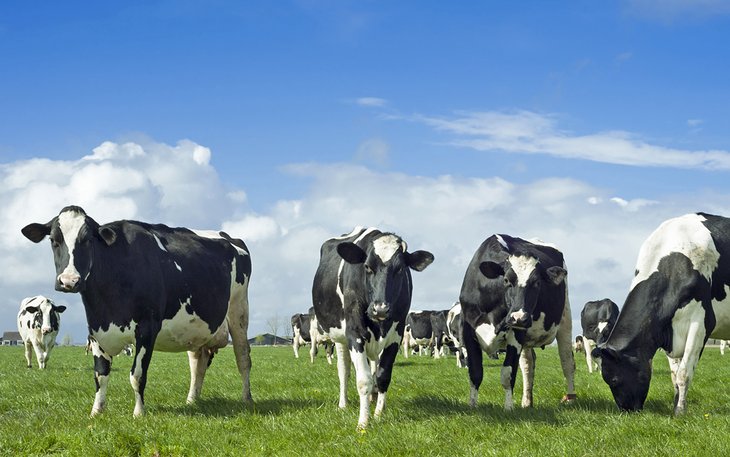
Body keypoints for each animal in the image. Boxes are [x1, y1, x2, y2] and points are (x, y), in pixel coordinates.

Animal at [22, 207, 253, 416]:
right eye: (54, 240)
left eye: (87, 240)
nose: (69, 281)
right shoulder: (95, 330)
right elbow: (100, 374)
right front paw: (96, 411)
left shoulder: (147, 328)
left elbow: (137, 375)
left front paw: (139, 413)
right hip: (197, 328)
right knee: (198, 363)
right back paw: (191, 400)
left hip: (239, 310)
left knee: (243, 358)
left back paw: (246, 399)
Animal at [308, 224, 432, 428]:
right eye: (367, 266)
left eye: (400, 269)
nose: (380, 308)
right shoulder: (355, 334)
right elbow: (363, 380)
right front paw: (363, 422)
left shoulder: (396, 336)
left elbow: (383, 376)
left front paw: (378, 414)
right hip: (340, 338)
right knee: (344, 370)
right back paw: (343, 404)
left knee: (374, 366)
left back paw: (374, 398)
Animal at [458, 233, 572, 408]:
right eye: (506, 280)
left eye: (537, 282)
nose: (519, 317)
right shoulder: (468, 331)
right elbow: (475, 373)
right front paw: (472, 406)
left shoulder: (516, 334)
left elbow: (507, 374)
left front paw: (508, 408)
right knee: (528, 364)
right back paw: (526, 402)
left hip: (565, 318)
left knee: (567, 361)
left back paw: (571, 398)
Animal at [596, 212, 728, 416]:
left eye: (614, 380)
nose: (627, 411)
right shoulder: (667, 330)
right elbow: (674, 376)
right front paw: (676, 405)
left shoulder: (700, 323)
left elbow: (683, 373)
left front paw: (679, 412)